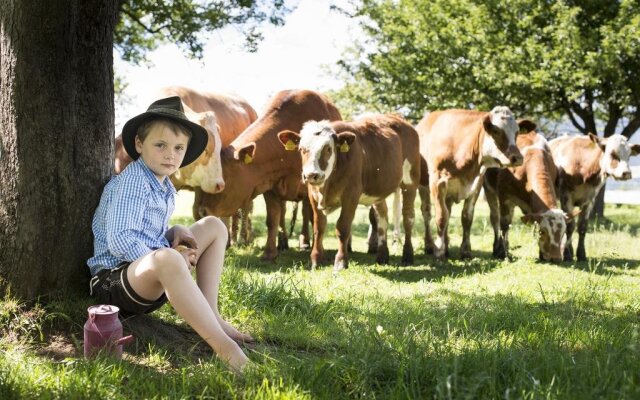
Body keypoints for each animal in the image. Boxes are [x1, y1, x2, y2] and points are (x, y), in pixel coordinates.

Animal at [198, 89, 342, 260]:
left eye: (220, 183)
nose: (201, 212)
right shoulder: (270, 186)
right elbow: (272, 219)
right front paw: (269, 252)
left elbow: (314, 218)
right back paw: (283, 241)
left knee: (305, 212)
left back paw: (304, 241)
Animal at [278, 115, 422, 272]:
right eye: (302, 149)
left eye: (328, 148)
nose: (311, 175)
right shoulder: (313, 196)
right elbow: (318, 227)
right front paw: (315, 260)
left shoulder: (351, 195)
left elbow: (343, 227)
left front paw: (341, 261)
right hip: (378, 189)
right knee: (382, 216)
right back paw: (382, 256)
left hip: (410, 181)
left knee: (408, 217)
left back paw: (407, 256)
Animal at [418, 107, 536, 260]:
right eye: (496, 131)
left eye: (517, 133)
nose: (518, 158)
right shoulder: (437, 183)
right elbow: (441, 217)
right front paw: (439, 252)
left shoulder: (476, 184)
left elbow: (467, 217)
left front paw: (465, 251)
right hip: (423, 186)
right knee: (427, 213)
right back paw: (430, 245)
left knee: (448, 211)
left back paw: (447, 246)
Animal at [484, 130, 576, 264]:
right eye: (543, 232)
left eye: (563, 232)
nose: (556, 258)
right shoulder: (505, 197)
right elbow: (505, 225)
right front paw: (503, 253)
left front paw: (541, 254)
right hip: (489, 190)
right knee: (495, 219)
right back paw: (497, 248)